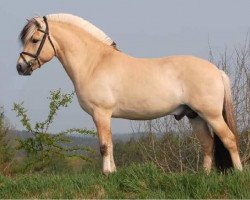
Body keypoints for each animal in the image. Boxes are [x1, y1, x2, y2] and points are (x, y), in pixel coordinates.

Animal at [16, 13, 242, 175]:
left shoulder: (101, 113)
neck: (95, 63)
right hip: (194, 115)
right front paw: (113, 172)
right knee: (208, 143)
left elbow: (104, 145)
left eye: (35, 39)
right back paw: (204, 175)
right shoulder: (103, 116)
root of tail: (216, 71)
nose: (20, 67)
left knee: (229, 139)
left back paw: (238, 173)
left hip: (211, 114)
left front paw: (106, 173)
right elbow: (110, 144)